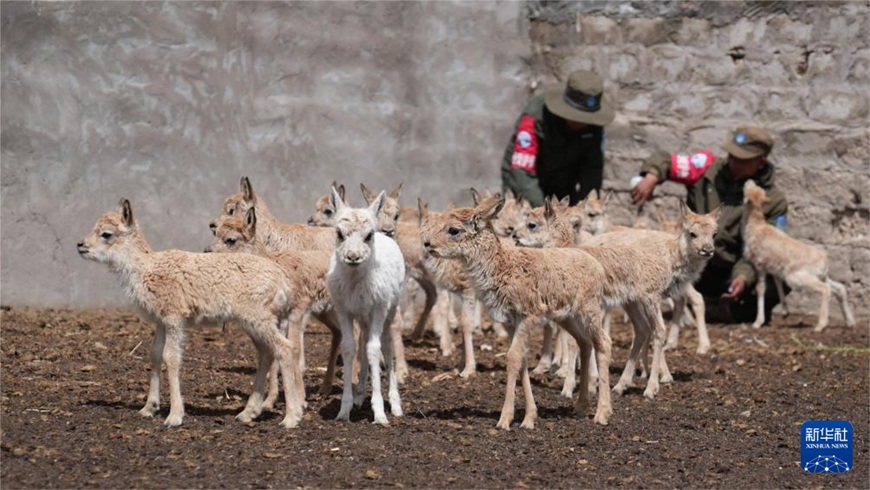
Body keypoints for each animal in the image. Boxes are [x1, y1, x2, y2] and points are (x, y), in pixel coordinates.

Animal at [79, 199, 304, 428]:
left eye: (106, 234)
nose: (80, 245)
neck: (146, 269)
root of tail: (282, 280)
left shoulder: (174, 317)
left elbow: (171, 357)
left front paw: (174, 416)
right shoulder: (161, 321)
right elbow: (155, 354)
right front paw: (148, 408)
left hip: (257, 317)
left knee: (284, 348)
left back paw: (291, 417)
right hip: (252, 321)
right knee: (266, 352)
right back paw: (248, 413)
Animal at [208, 207, 344, 410]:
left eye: (231, 239)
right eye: (215, 233)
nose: (207, 252)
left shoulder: (298, 311)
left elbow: (295, 350)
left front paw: (300, 400)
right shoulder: (278, 317)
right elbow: (276, 353)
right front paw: (268, 402)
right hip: (325, 311)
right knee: (339, 332)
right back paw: (325, 388)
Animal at [328, 188, 408, 424]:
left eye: (368, 235)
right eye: (339, 233)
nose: (353, 256)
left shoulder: (378, 309)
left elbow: (374, 349)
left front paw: (380, 413)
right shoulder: (343, 309)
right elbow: (349, 347)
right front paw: (344, 411)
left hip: (390, 310)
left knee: (386, 345)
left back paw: (396, 405)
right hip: (363, 317)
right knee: (363, 342)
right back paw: (359, 395)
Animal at [420, 193, 612, 426]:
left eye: (454, 230)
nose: (427, 243)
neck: (503, 269)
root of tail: (599, 268)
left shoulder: (528, 316)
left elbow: (512, 359)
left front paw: (505, 419)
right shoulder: (510, 321)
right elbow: (522, 361)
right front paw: (529, 417)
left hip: (589, 309)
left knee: (603, 343)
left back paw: (602, 413)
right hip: (567, 317)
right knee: (585, 343)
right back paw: (581, 406)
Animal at [744, 181, 860, 334]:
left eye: (748, 190)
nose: (749, 181)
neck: (756, 225)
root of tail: (824, 260)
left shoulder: (760, 266)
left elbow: (761, 288)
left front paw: (757, 322)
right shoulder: (774, 269)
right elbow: (777, 283)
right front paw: (785, 312)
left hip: (797, 277)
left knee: (825, 289)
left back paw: (821, 325)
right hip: (820, 276)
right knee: (839, 288)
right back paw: (850, 322)